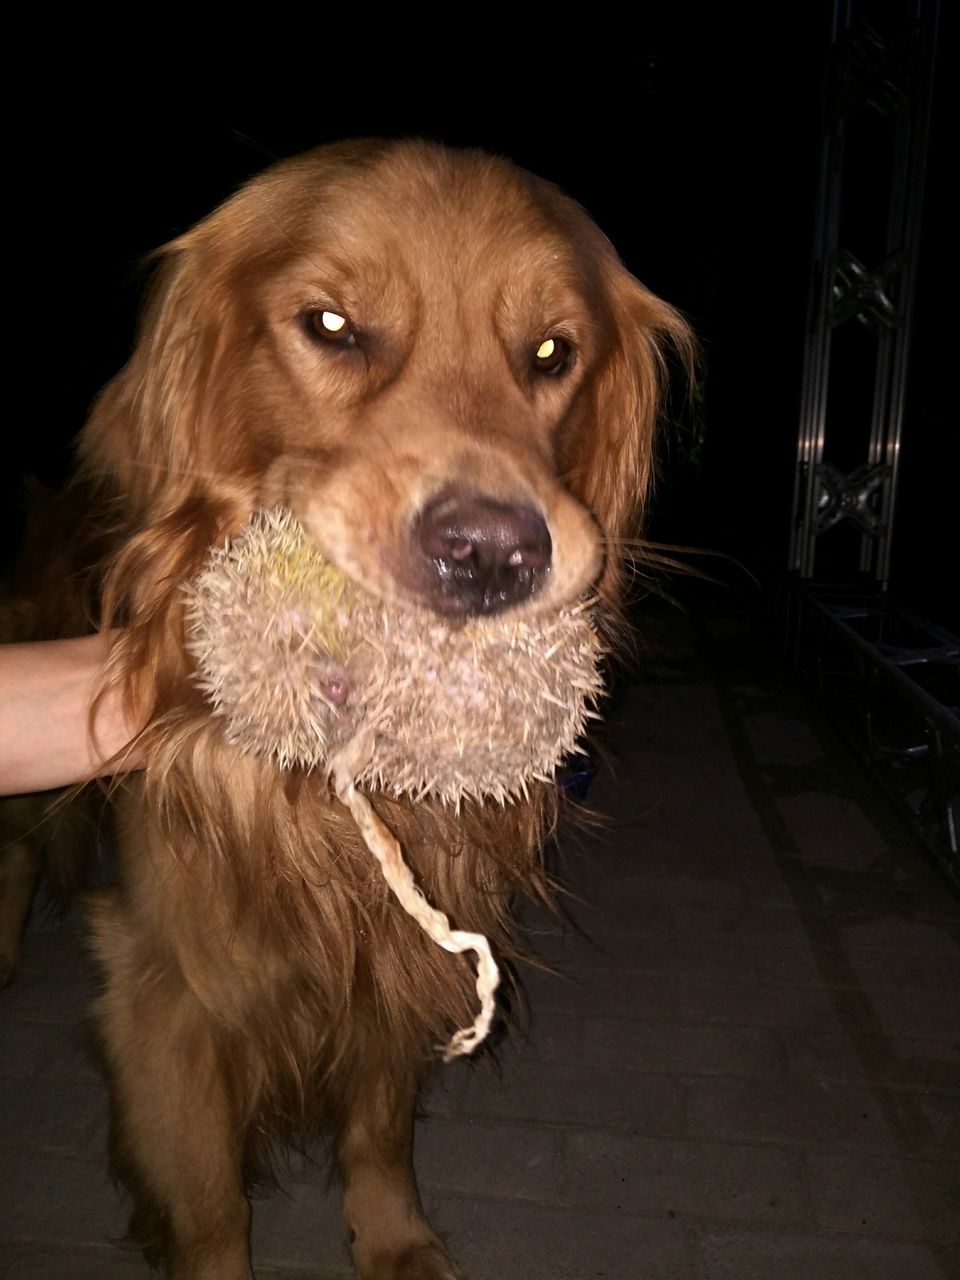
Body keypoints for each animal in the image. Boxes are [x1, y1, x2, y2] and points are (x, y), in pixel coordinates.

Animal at [75, 135, 691, 1274]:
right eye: (331, 326)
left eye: (552, 351)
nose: (491, 555)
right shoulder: (163, 989)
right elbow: (211, 1206)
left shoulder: (406, 954)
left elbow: (379, 1125)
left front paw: (396, 1240)